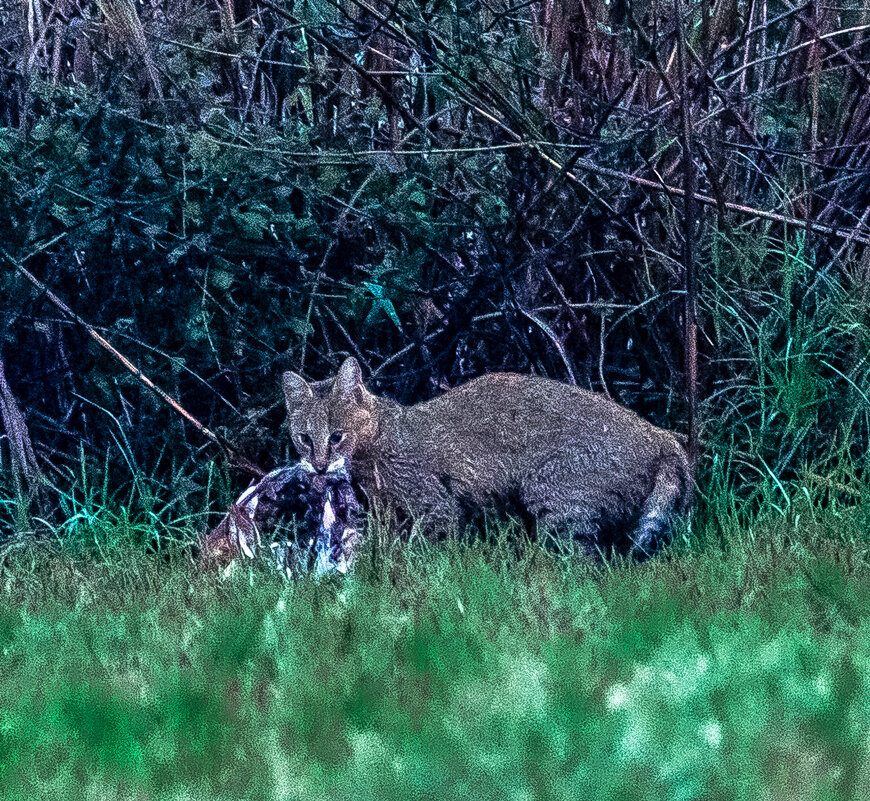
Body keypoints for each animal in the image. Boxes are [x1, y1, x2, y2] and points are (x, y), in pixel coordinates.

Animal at [282, 358, 692, 552]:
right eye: (304, 438)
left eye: (336, 437)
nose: (319, 465)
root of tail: (660, 436)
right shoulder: (391, 515)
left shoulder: (436, 508)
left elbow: (424, 555)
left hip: (553, 497)